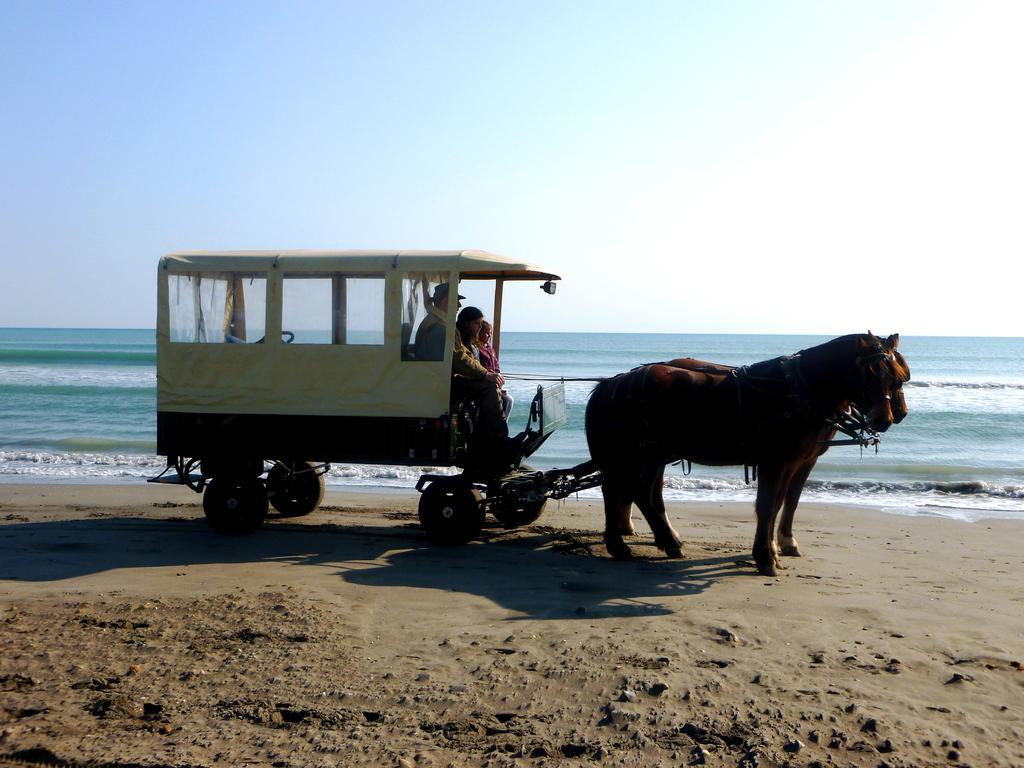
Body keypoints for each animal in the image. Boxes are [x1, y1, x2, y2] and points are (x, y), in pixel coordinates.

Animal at [585, 331, 913, 577]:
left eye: (898, 375)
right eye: (869, 372)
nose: (888, 417)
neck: (797, 390)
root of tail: (609, 385)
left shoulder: (799, 460)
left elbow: (785, 502)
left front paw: (779, 546)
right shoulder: (777, 461)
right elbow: (768, 505)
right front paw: (767, 557)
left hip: (651, 455)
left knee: (643, 493)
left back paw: (667, 541)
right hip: (630, 456)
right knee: (619, 491)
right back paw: (620, 546)